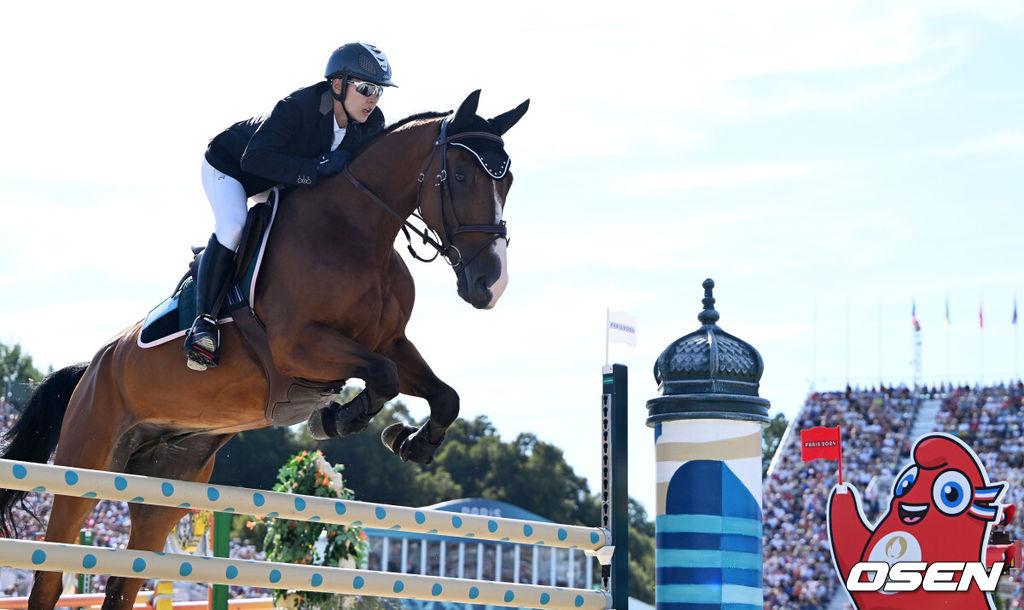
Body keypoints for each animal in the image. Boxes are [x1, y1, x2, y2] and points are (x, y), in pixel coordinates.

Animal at [0, 89, 528, 610]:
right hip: (86, 466)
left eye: (508, 182)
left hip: (164, 485)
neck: (355, 234)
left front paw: (411, 442)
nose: (491, 285)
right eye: (459, 176)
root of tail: (90, 369)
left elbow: (442, 395)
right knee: (49, 575)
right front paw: (336, 419)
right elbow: (382, 376)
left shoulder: (392, 342)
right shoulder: (298, 345)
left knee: (125, 581)